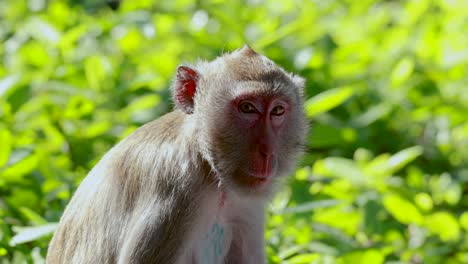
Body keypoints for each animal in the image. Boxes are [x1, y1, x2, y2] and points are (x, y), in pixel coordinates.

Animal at [45, 46, 306, 264]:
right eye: (248, 108)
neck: (208, 167)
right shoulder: (173, 194)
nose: (266, 152)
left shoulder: (246, 203)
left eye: (277, 111)